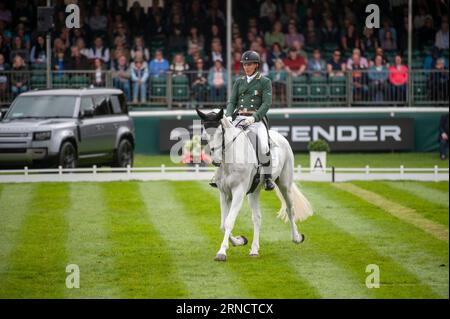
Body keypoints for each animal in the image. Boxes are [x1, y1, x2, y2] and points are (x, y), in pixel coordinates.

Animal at [197, 109, 312, 264]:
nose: (215, 161)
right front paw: (239, 240)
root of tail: (281, 137)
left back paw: (297, 238)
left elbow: (229, 222)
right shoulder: (224, 193)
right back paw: (254, 250)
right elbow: (223, 224)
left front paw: (221, 252)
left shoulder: (238, 192)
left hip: (285, 184)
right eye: (204, 134)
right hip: (254, 191)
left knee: (290, 209)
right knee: (257, 218)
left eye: (221, 133)